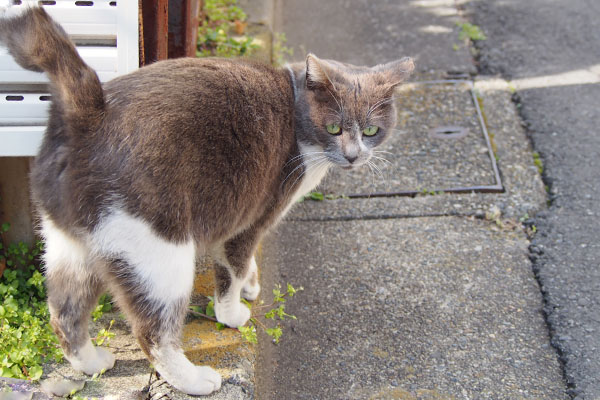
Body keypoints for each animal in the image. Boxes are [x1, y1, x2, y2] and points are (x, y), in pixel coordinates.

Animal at [0, 4, 412, 396]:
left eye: (371, 130)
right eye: (334, 127)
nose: (353, 156)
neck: (297, 115)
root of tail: (89, 113)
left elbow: (245, 266)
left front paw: (252, 285)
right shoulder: (249, 220)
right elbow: (232, 270)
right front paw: (233, 313)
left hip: (69, 248)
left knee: (64, 313)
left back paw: (91, 362)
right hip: (160, 255)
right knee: (153, 333)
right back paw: (194, 380)